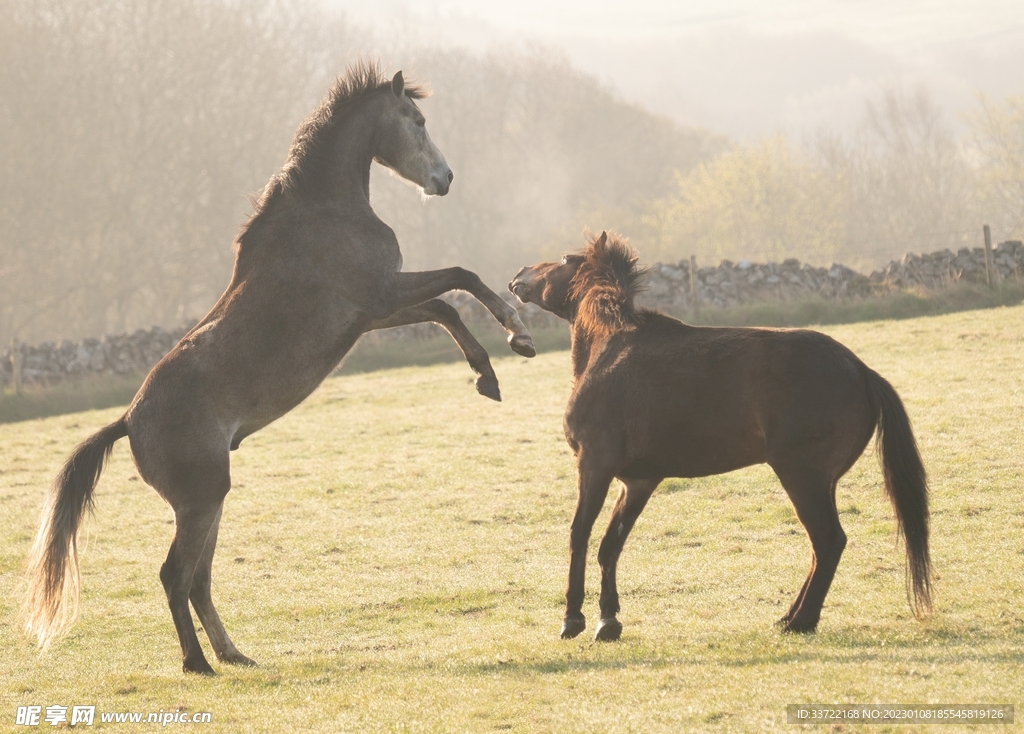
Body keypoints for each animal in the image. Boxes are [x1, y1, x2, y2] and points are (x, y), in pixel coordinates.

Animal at [26, 63, 536, 675]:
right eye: (416, 120)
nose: (446, 178)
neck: (326, 212)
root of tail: (127, 419)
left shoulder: (372, 313)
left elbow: (444, 307)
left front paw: (490, 372)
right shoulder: (380, 294)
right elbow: (461, 280)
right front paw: (517, 334)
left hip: (210, 501)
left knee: (198, 579)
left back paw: (233, 654)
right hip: (201, 499)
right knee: (175, 576)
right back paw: (197, 664)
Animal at [508, 231, 931, 642]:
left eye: (565, 259)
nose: (519, 275)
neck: (608, 348)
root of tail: (861, 371)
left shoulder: (594, 464)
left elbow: (579, 536)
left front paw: (573, 619)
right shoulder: (638, 481)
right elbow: (610, 546)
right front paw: (608, 621)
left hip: (802, 476)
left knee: (828, 540)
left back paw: (800, 622)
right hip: (823, 481)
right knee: (822, 546)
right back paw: (789, 617)